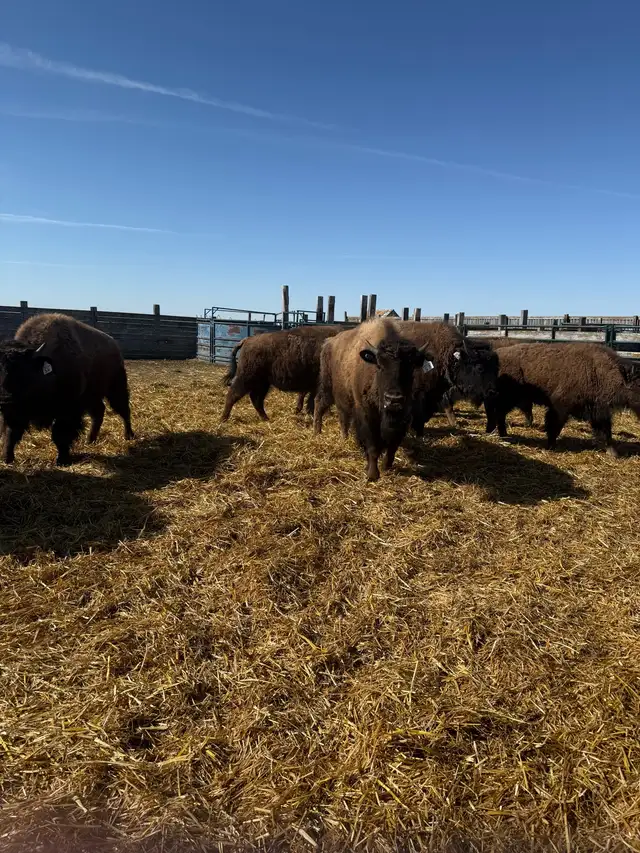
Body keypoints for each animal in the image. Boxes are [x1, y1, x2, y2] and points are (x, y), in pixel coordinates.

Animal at [0, 313, 134, 466]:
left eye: (24, 372)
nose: (4, 400)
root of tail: (114, 345)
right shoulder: (15, 413)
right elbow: (11, 432)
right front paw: (7, 458)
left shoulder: (68, 410)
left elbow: (60, 434)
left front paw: (62, 460)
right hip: (92, 397)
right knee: (99, 412)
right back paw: (90, 440)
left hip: (116, 388)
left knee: (124, 410)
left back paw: (129, 435)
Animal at [313, 319, 432, 481]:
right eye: (380, 366)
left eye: (411, 367)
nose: (393, 399)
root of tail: (328, 343)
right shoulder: (367, 414)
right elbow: (372, 445)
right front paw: (373, 474)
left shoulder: (403, 417)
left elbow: (393, 444)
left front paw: (386, 465)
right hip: (327, 386)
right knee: (321, 404)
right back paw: (318, 432)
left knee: (343, 417)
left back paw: (344, 437)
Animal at [485, 342, 640, 456]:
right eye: (638, 385)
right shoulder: (559, 407)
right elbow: (554, 426)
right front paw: (551, 445)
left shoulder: (598, 412)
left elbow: (605, 432)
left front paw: (613, 453)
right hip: (508, 399)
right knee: (499, 414)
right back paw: (501, 434)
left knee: (501, 414)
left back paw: (503, 434)